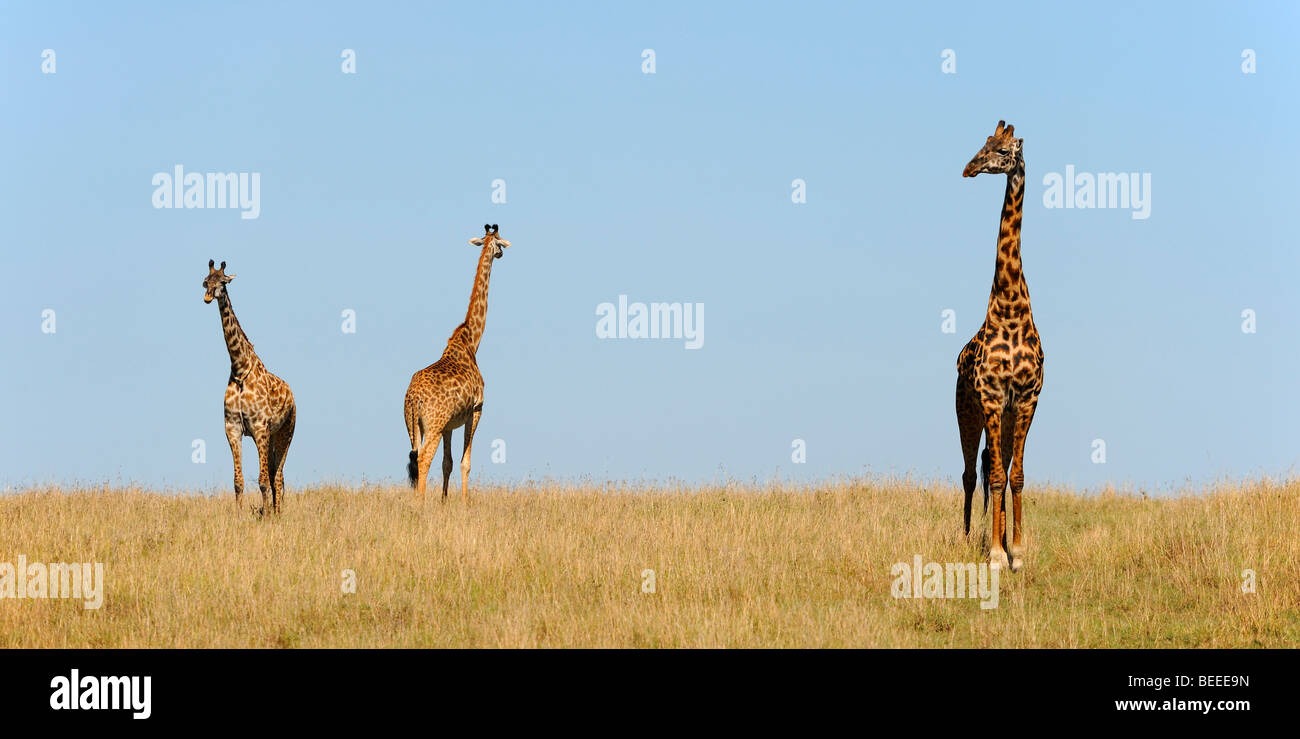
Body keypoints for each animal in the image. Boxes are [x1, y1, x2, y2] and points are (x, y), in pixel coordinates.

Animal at [198, 260, 296, 512]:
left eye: (223, 282)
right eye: (205, 281)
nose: (208, 296)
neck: (240, 369)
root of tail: (291, 394)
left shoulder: (260, 427)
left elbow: (262, 481)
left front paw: (267, 515)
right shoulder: (232, 428)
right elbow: (238, 481)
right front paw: (239, 514)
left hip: (286, 431)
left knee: (277, 476)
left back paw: (277, 512)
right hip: (271, 436)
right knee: (275, 474)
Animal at [403, 225, 509, 502]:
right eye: (499, 243)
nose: (502, 254)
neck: (471, 341)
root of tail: (413, 397)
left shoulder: (451, 424)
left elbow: (447, 463)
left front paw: (444, 501)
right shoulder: (476, 409)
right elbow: (465, 462)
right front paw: (463, 503)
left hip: (414, 426)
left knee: (415, 457)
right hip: (433, 424)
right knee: (424, 458)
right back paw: (420, 504)